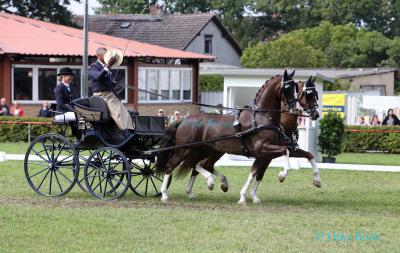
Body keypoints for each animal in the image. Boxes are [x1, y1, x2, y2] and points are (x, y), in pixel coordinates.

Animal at [185, 75, 322, 202]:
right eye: (308, 94)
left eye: (315, 94)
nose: (316, 114)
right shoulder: (265, 152)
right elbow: (256, 172)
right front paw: (280, 176)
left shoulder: (276, 153)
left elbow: (308, 155)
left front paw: (317, 180)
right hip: (206, 150)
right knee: (195, 164)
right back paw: (201, 186)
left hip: (216, 151)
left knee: (203, 165)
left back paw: (212, 186)